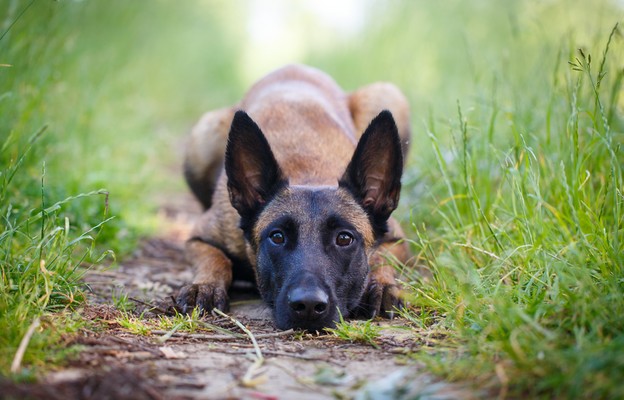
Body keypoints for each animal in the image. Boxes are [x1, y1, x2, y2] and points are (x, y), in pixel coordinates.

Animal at [174, 64, 414, 330]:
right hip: (203, 139)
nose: (308, 305)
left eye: (344, 238)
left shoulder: (397, 239)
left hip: (386, 94)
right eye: (277, 237)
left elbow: (383, 258)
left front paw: (381, 285)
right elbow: (215, 259)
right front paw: (205, 285)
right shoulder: (198, 238)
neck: (309, 176)